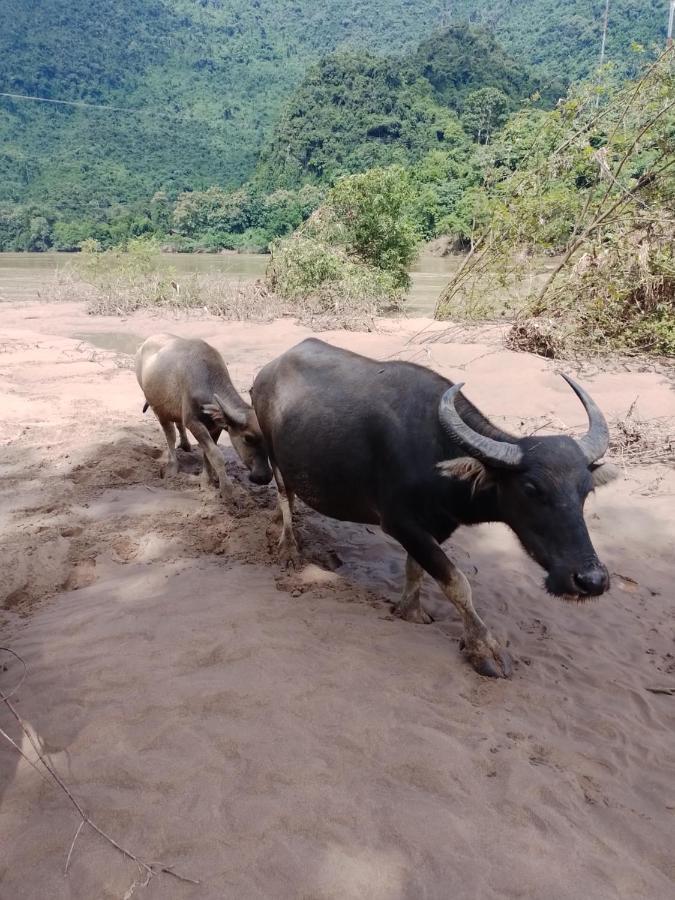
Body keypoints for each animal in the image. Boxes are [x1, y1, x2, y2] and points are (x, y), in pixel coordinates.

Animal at [135, 334, 272, 496]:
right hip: (158, 408)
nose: (264, 477)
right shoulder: (193, 422)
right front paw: (227, 489)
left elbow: (208, 455)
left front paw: (207, 481)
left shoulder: (215, 427)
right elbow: (216, 454)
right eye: (248, 438)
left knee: (178, 423)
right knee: (170, 435)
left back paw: (186, 445)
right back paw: (172, 466)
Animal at [250, 338, 616, 676]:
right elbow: (456, 582)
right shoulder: (400, 524)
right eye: (531, 489)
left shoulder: (434, 527)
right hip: (273, 453)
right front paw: (484, 649)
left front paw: (409, 610)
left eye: (585, 491)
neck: (437, 456)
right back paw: (288, 547)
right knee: (283, 492)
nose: (591, 580)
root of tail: (268, 370)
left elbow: (416, 569)